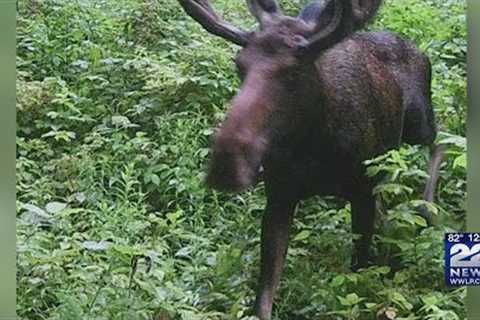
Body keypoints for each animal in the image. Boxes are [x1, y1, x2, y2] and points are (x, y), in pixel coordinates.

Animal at [178, 0, 444, 318]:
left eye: (295, 72)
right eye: (239, 65)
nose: (227, 162)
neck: (314, 147)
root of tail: (418, 49)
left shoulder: (363, 192)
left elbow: (359, 273)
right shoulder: (279, 197)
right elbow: (264, 298)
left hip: (419, 122)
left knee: (442, 141)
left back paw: (429, 210)